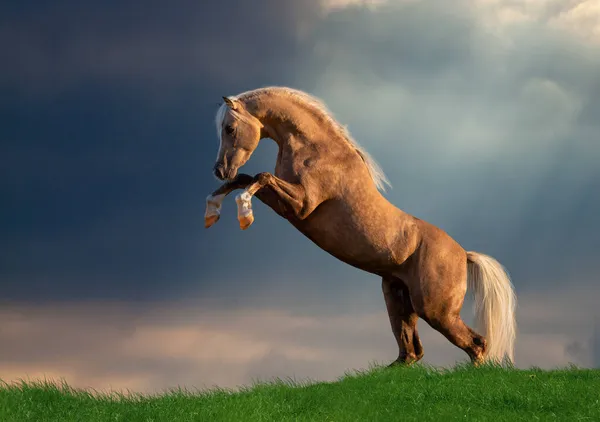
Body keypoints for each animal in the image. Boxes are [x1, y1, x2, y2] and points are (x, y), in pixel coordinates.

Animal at [204, 85, 516, 366]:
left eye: (230, 128)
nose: (219, 169)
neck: (316, 149)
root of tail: (464, 254)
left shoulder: (301, 205)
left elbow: (260, 177)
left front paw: (244, 214)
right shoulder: (286, 204)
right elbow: (244, 178)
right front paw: (212, 212)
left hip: (436, 310)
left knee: (475, 344)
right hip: (397, 298)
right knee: (411, 352)